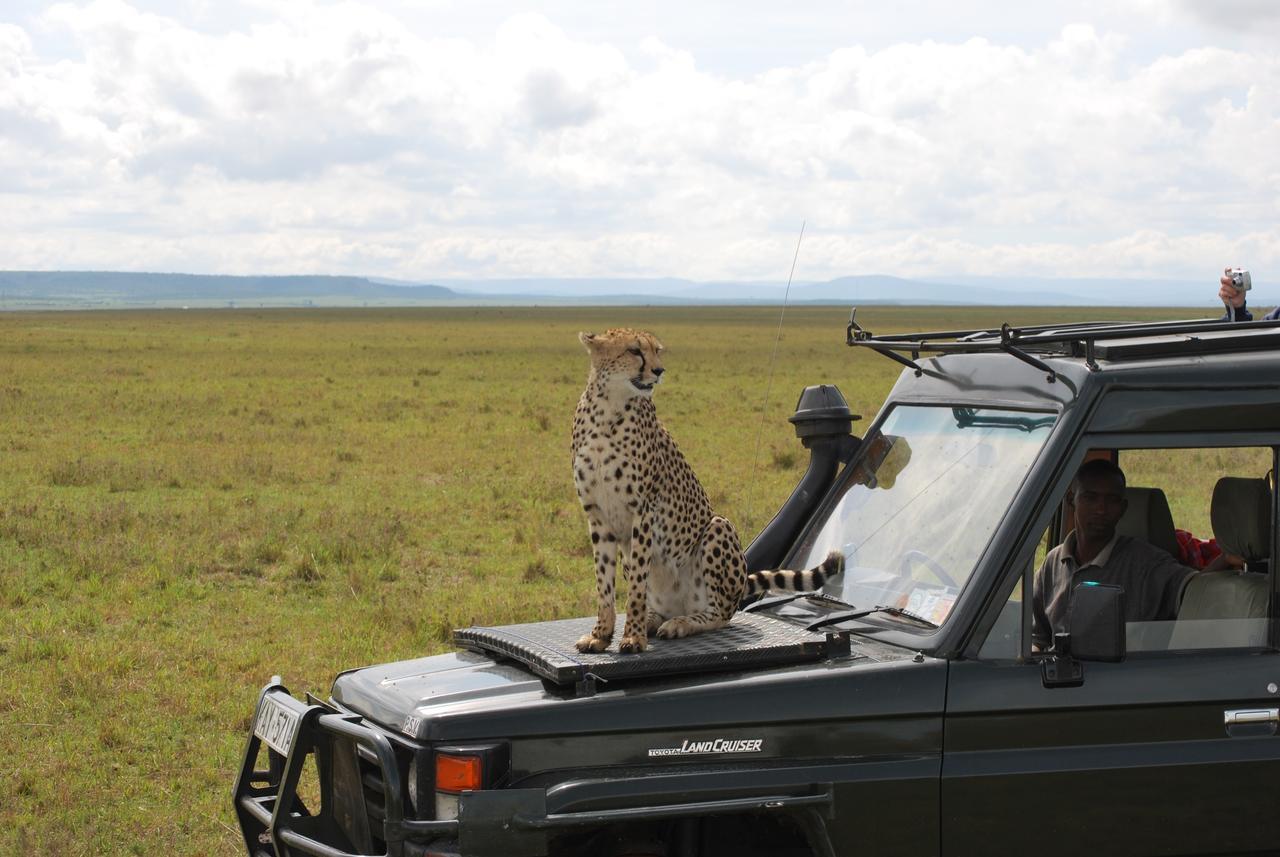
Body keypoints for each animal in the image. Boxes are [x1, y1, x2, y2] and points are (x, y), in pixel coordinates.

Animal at [570, 330, 839, 660]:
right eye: (634, 351)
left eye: (657, 350)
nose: (659, 371)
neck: (609, 407)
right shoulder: (598, 516)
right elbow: (604, 584)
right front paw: (601, 635)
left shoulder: (641, 511)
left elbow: (634, 588)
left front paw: (632, 637)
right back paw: (653, 618)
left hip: (717, 527)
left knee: (721, 615)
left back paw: (680, 624)